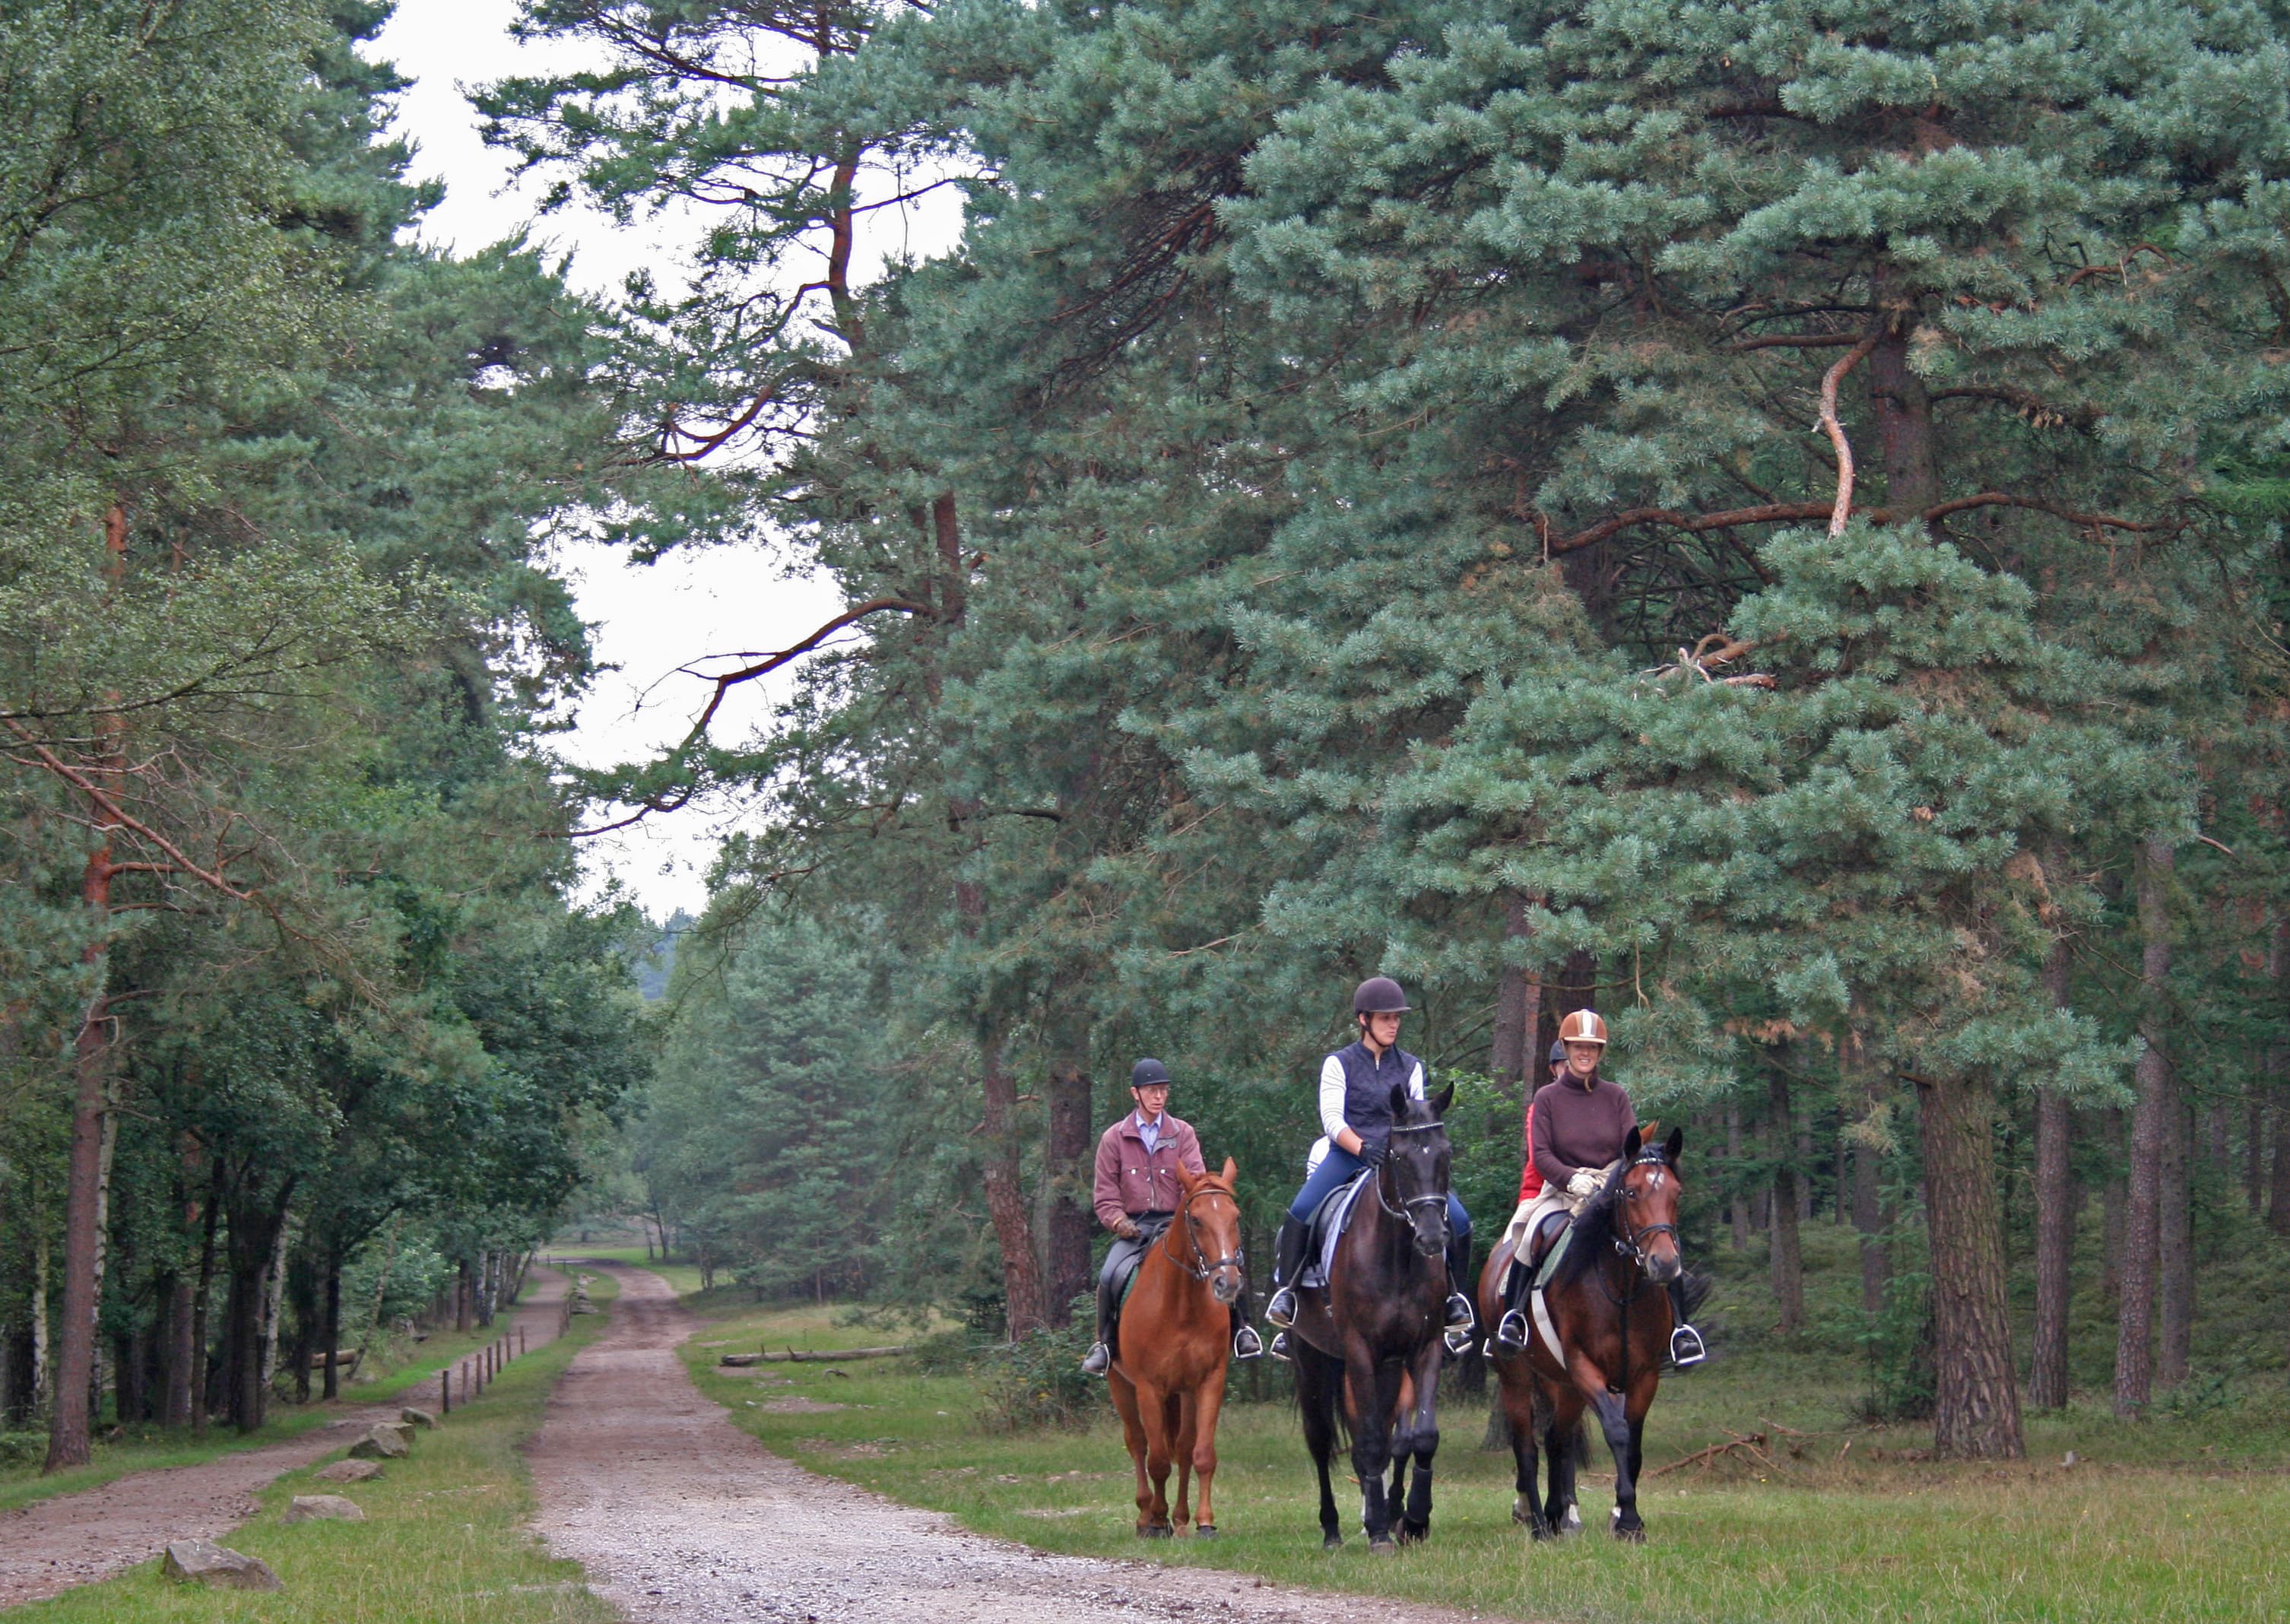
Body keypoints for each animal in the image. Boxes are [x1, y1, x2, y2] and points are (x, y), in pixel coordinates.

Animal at [1103, 1154, 1245, 1530]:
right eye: (1196, 1220)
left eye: (1235, 1216)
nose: (1227, 1283)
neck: (1181, 1306)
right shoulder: (1148, 1387)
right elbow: (1157, 1460)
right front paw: (1156, 1520)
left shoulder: (1208, 1382)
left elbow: (1201, 1453)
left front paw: (1204, 1522)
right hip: (1120, 1384)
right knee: (1138, 1444)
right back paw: (1146, 1515)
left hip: (1183, 1393)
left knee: (1182, 1447)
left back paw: (1179, 1518)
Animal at [1291, 1080, 1447, 1548]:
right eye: (1399, 1157)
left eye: (1446, 1153)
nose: (1432, 1238)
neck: (1396, 1256)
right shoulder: (1359, 1351)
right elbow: (1372, 1441)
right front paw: (1379, 1530)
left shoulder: (1424, 1348)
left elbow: (1420, 1436)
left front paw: (1414, 1519)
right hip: (1312, 1360)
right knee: (1322, 1441)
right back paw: (1332, 1528)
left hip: (1387, 1367)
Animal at [1474, 1122, 1694, 1539]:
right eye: (1631, 1192)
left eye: (1676, 1193)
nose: (1663, 1265)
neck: (1621, 1289)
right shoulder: (1584, 1366)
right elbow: (1617, 1432)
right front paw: (1629, 1519)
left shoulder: (1644, 1375)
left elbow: (1633, 1444)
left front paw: (1626, 1518)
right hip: (1518, 1376)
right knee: (1527, 1446)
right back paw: (1539, 1523)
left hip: (1563, 1386)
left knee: (1556, 1438)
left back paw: (1557, 1515)